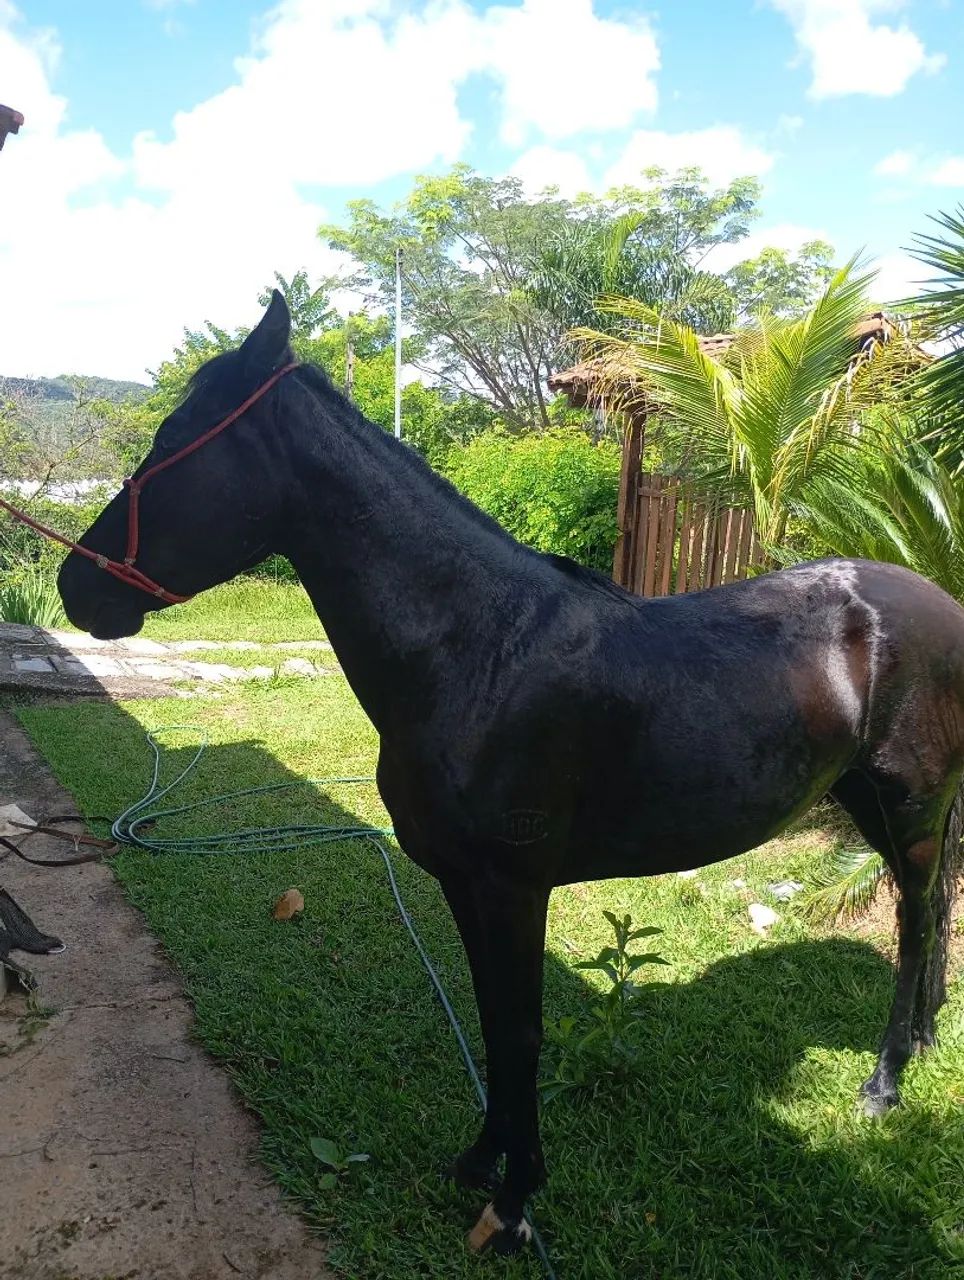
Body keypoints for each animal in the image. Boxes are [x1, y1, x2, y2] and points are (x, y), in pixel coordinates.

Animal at [59, 292, 964, 1256]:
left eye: (173, 437)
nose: (77, 589)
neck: (479, 650)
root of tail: (935, 600)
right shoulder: (463, 882)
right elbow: (491, 1019)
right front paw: (481, 1160)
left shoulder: (515, 886)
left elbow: (522, 1029)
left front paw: (518, 1199)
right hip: (873, 804)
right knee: (931, 910)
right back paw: (924, 1040)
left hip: (907, 806)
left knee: (913, 921)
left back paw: (885, 1082)